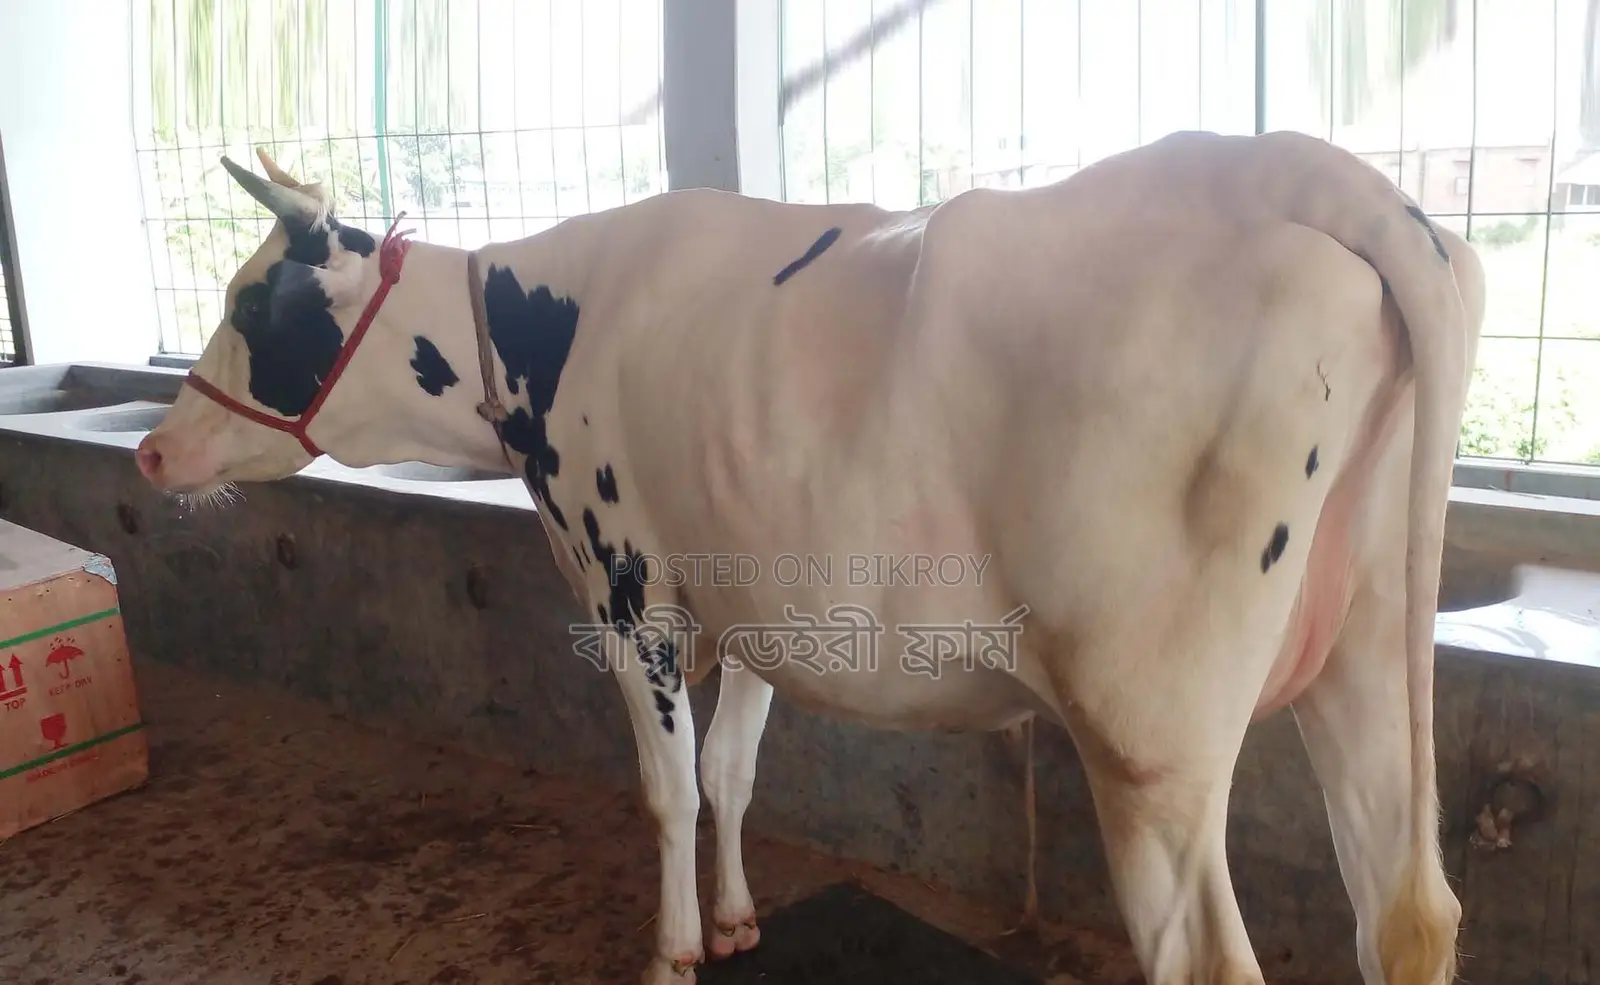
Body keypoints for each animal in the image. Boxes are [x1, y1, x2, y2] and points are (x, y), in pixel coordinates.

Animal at [136, 131, 1485, 985]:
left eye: (253, 306)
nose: (151, 450)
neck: (521, 327)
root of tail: (1304, 168)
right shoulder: (756, 603)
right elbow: (732, 772)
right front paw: (736, 920)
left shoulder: (628, 592)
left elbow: (669, 789)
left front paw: (673, 949)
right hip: (1364, 656)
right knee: (1400, 921)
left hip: (1148, 739)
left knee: (1208, 957)